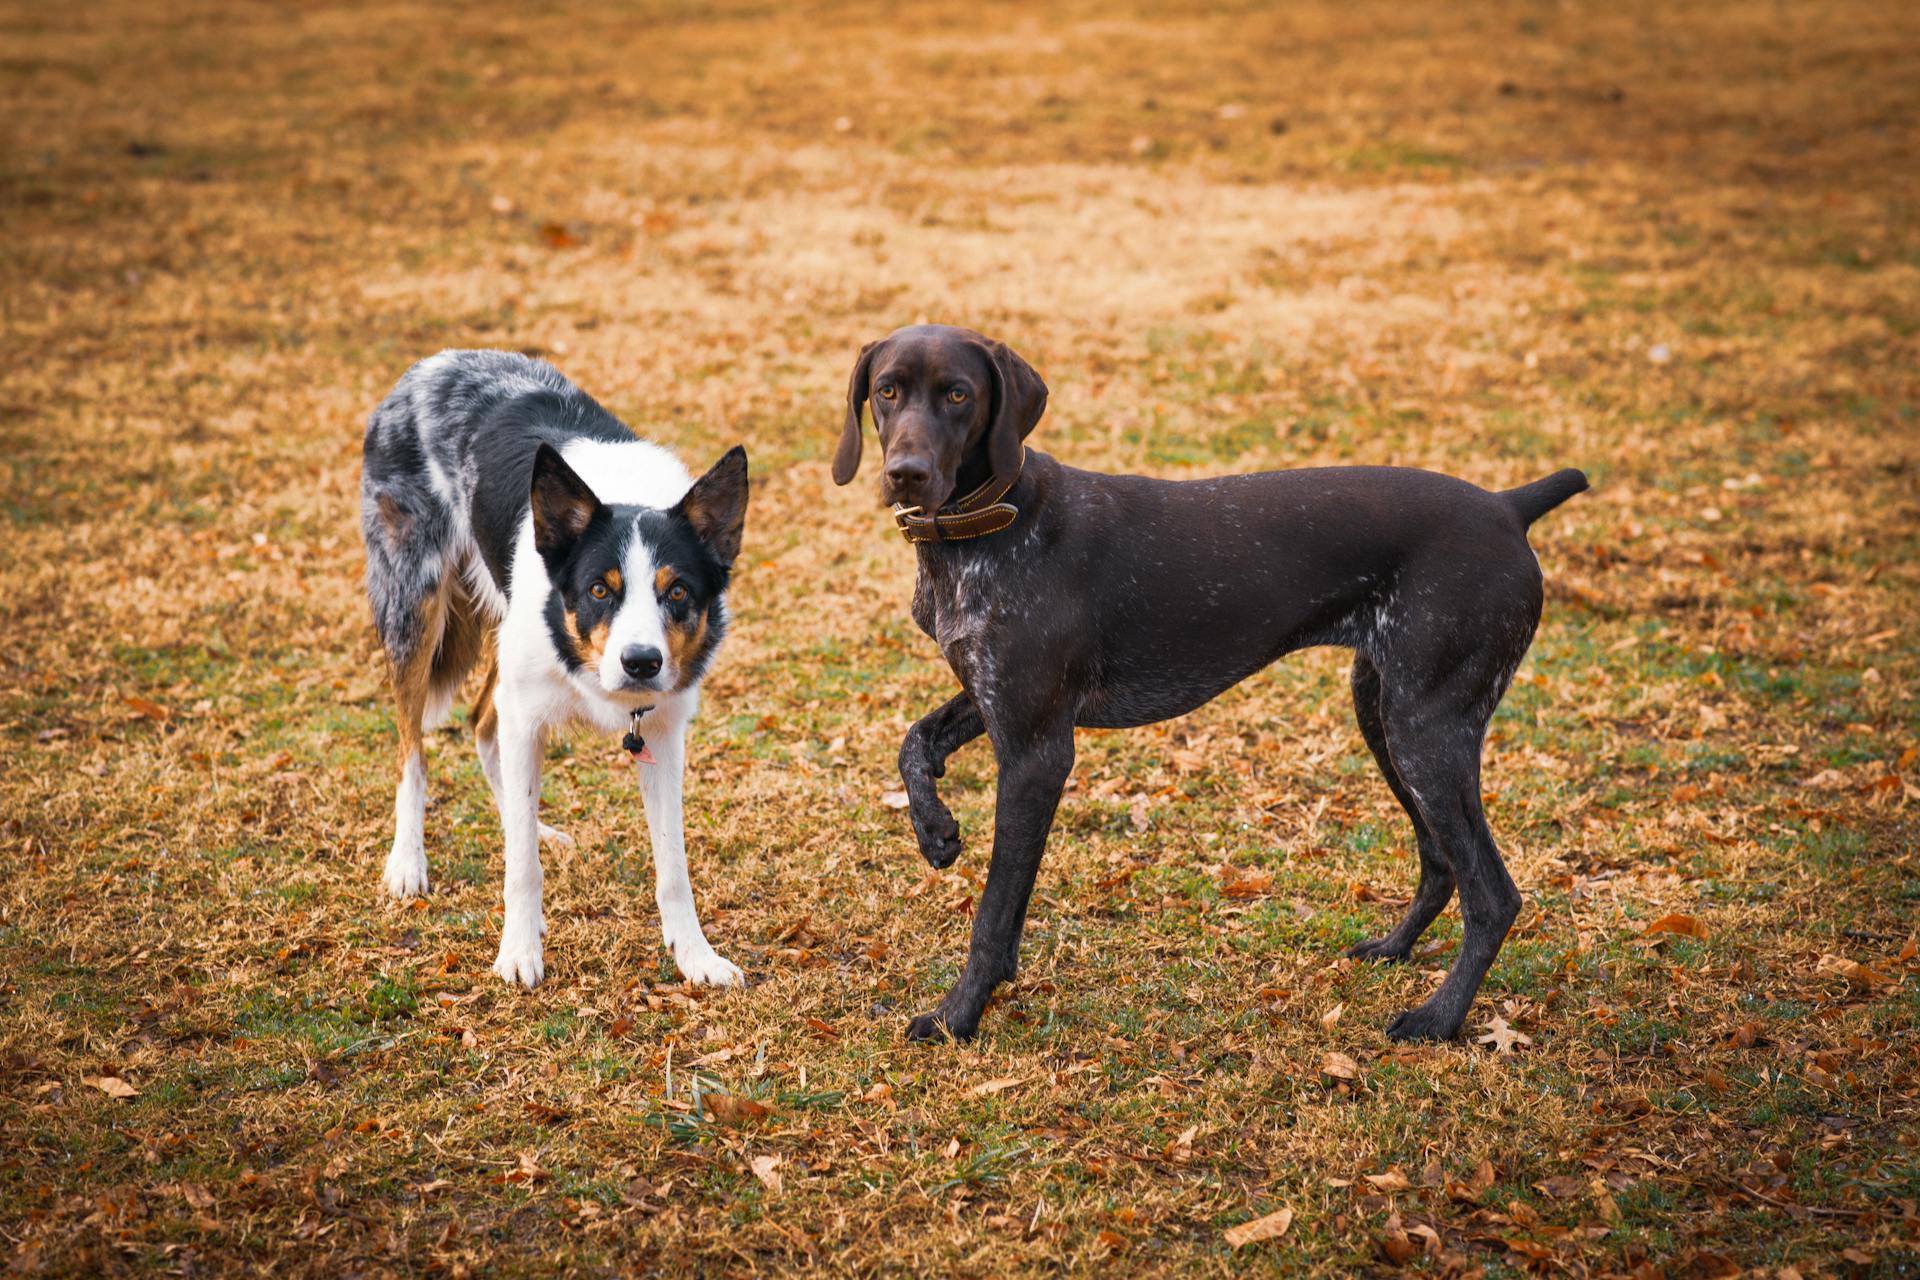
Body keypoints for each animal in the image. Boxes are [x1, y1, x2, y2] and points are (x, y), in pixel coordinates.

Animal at [360, 351, 748, 990]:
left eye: (677, 592)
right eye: (599, 590)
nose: (641, 663)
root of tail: (431, 364)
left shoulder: (663, 733)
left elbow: (673, 866)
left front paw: (695, 956)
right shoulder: (528, 707)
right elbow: (521, 868)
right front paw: (519, 951)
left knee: (483, 724)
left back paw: (527, 823)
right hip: (413, 605)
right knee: (411, 749)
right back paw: (408, 860)